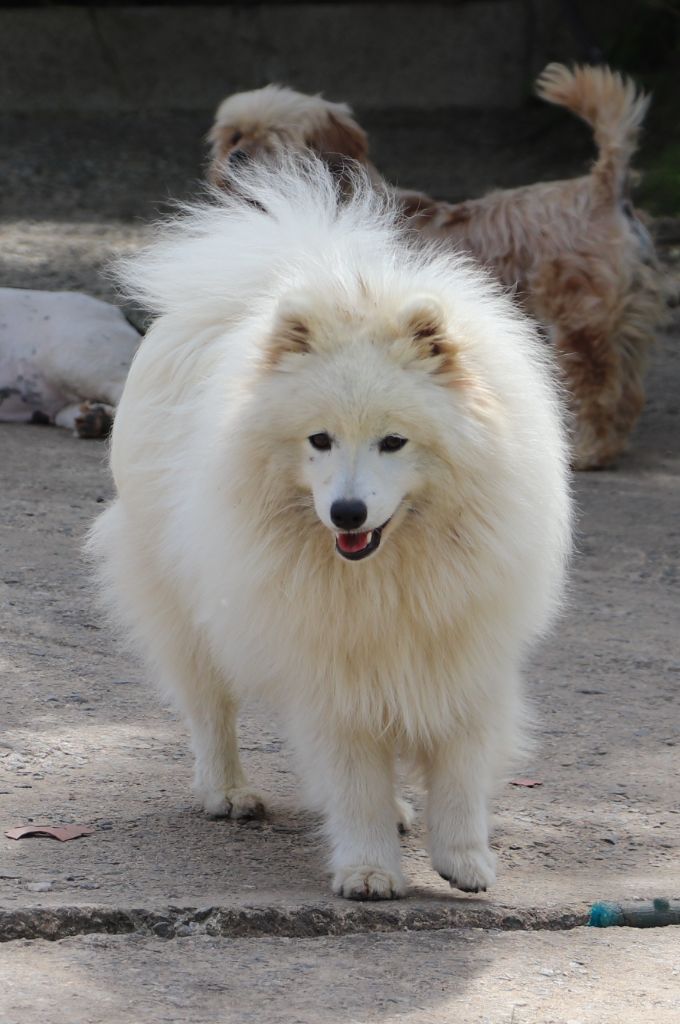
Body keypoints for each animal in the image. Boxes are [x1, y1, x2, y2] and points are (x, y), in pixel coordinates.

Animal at [87, 157, 569, 897]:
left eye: (394, 443)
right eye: (319, 440)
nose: (347, 513)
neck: (390, 572)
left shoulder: (462, 651)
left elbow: (458, 765)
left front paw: (464, 859)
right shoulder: (330, 663)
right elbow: (353, 775)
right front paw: (369, 868)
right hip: (185, 604)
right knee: (209, 706)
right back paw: (228, 791)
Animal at [206, 69, 663, 471]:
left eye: (276, 143)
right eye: (235, 136)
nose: (237, 157)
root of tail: (602, 188)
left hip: (580, 325)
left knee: (599, 390)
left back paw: (591, 451)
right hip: (626, 325)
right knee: (630, 393)